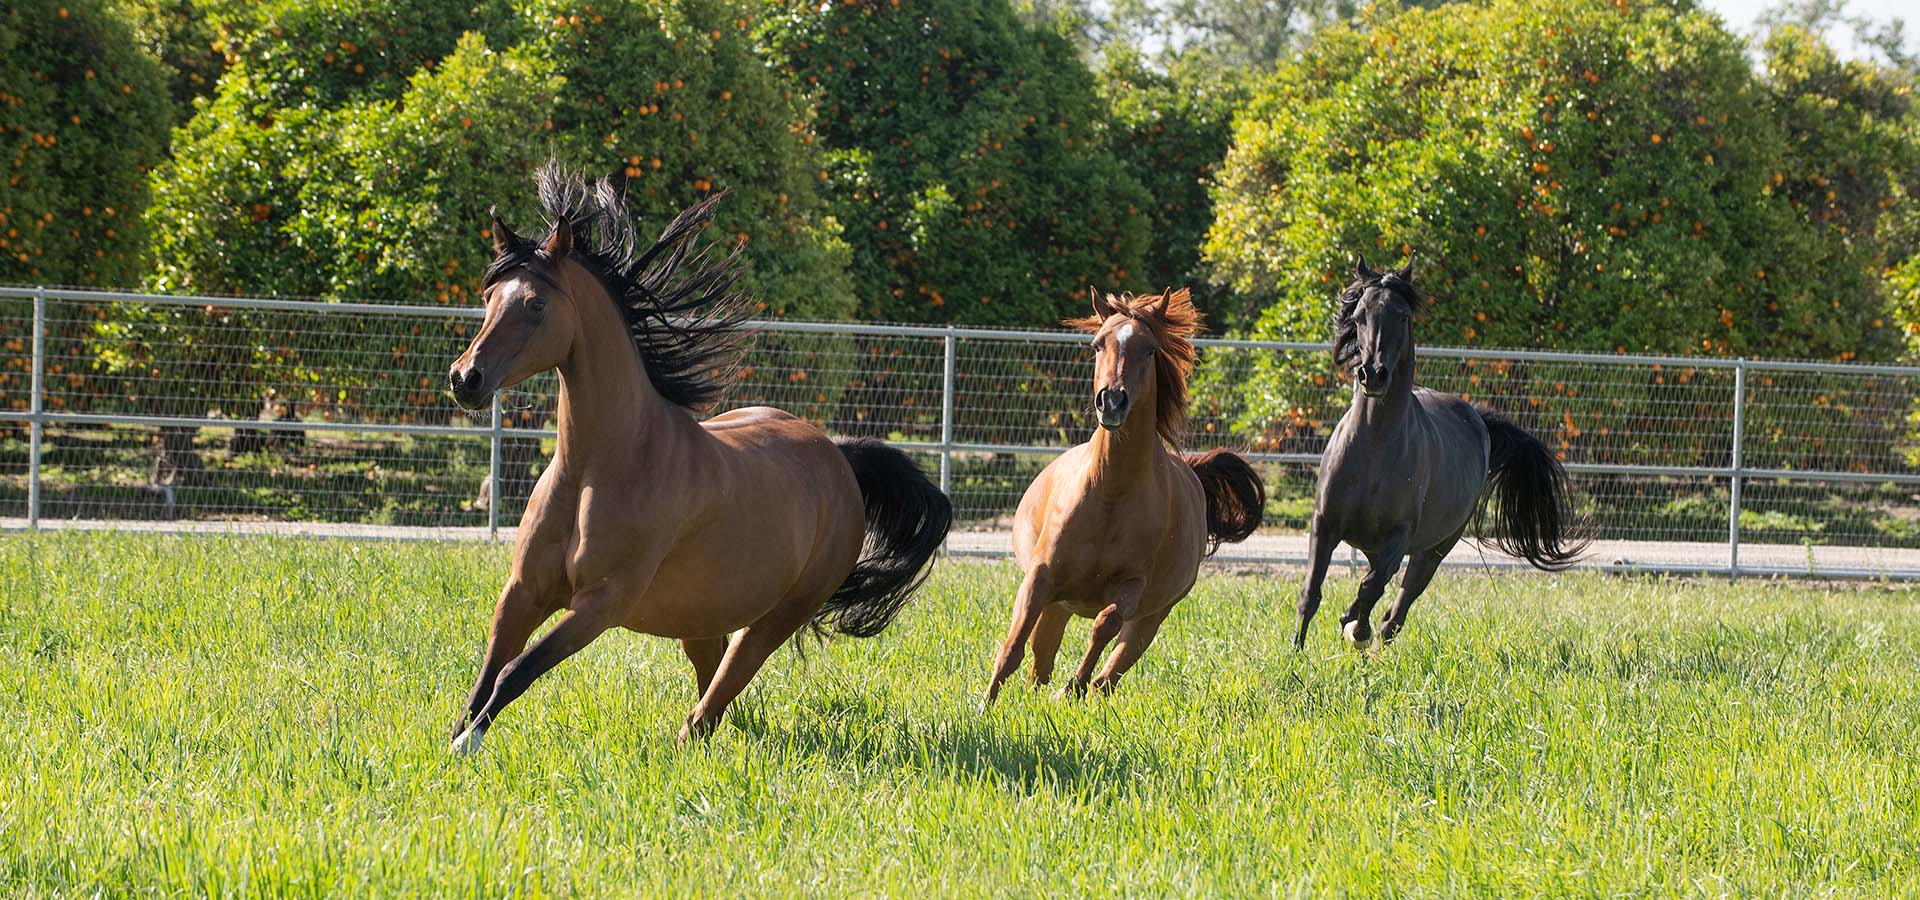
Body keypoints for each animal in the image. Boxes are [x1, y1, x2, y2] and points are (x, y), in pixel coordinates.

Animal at [443, 165, 952, 748]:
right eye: (488, 295)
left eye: (536, 304)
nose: (465, 379)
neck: (598, 468)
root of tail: (840, 461)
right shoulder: (523, 591)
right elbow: (485, 676)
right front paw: (454, 743)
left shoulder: (601, 603)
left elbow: (514, 671)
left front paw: (467, 745)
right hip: (700, 618)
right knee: (715, 688)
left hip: (778, 616)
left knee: (718, 695)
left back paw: (688, 739)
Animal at [975, 291, 1274, 706]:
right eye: (1098, 344)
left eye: (1149, 349)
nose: (1112, 401)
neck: (1110, 494)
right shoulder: (1041, 575)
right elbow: (1014, 644)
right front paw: (984, 705)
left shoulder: (1132, 586)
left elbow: (1104, 625)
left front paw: (1071, 688)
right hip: (1058, 606)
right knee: (1041, 662)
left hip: (1150, 619)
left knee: (1108, 675)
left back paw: (1075, 690)